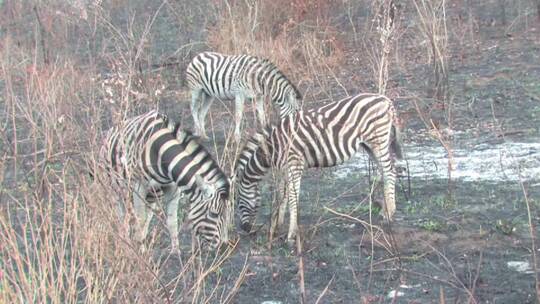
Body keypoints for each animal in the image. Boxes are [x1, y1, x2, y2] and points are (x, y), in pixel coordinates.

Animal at [98, 110, 232, 249]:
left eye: (227, 214)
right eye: (214, 214)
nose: (223, 247)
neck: (161, 152)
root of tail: (110, 131)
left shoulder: (173, 188)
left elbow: (172, 221)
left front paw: (175, 251)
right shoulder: (138, 187)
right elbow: (140, 220)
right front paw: (138, 248)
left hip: (153, 193)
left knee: (147, 215)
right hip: (114, 187)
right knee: (121, 214)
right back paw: (126, 241)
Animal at [234, 92, 402, 245]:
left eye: (239, 202)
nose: (244, 229)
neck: (273, 148)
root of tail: (385, 100)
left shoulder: (294, 164)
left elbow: (292, 199)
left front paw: (290, 235)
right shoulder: (284, 169)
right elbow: (282, 195)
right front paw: (277, 225)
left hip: (377, 140)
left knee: (390, 171)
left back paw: (389, 213)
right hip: (369, 145)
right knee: (385, 171)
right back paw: (385, 209)